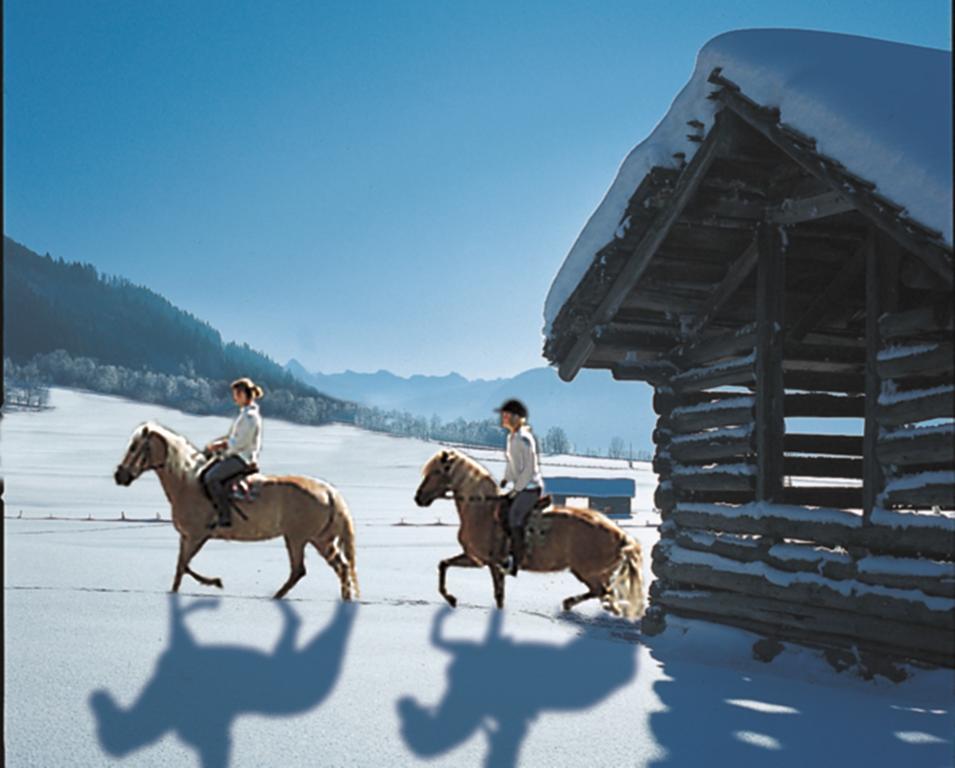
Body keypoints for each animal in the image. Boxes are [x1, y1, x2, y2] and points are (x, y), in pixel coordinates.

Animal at [114, 424, 360, 604]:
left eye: (135, 447)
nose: (120, 475)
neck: (187, 482)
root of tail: (329, 492)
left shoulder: (196, 536)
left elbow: (184, 566)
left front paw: (215, 582)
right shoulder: (186, 537)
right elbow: (180, 568)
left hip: (298, 539)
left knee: (301, 570)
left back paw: (275, 597)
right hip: (321, 539)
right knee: (341, 567)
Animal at [414, 450, 648, 616]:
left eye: (437, 472)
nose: (419, 498)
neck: (481, 511)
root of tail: (621, 536)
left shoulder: (493, 564)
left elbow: (499, 596)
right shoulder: (476, 559)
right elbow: (444, 564)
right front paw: (451, 598)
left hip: (589, 573)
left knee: (605, 595)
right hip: (594, 573)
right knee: (605, 594)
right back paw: (572, 604)